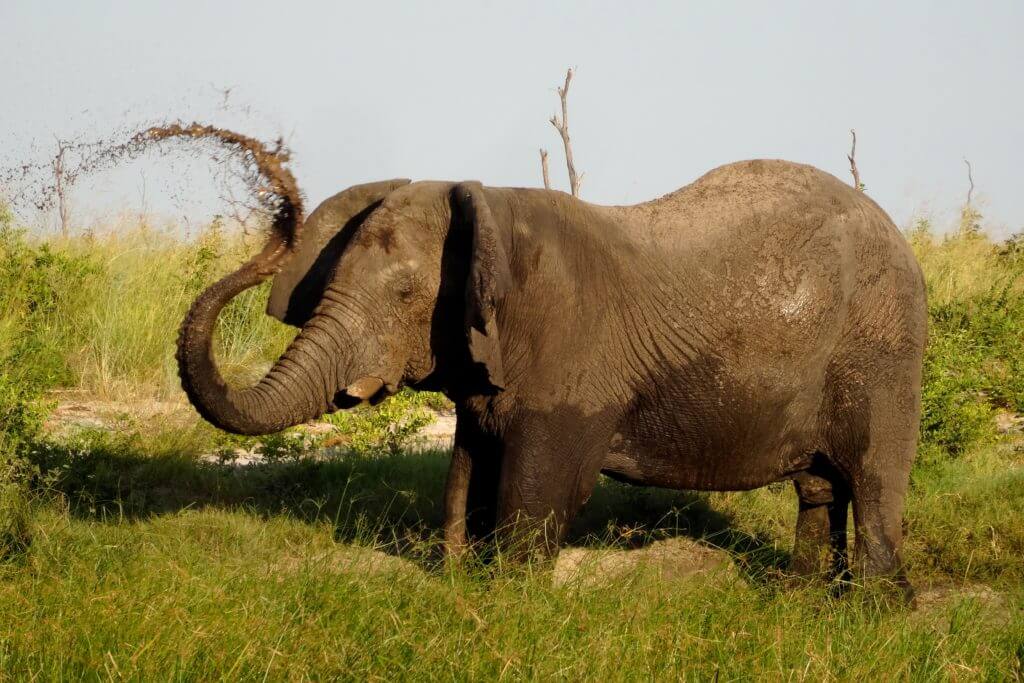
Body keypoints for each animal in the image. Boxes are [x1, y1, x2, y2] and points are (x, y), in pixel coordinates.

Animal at [176, 141, 929, 585]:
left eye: (404, 295)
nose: (275, 190)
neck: (490, 206)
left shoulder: (570, 357)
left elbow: (533, 487)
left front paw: (509, 601)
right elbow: (467, 474)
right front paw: (459, 584)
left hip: (882, 351)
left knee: (873, 481)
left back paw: (873, 615)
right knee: (821, 488)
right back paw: (799, 601)